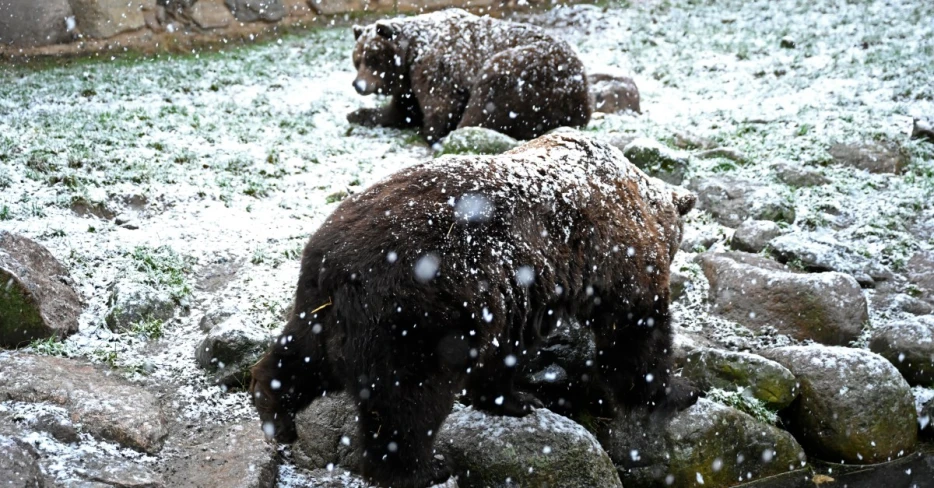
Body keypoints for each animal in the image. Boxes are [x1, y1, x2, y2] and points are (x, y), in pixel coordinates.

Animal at [250, 132, 697, 488]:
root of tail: (335, 263)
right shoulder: (615, 253)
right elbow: (636, 332)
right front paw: (678, 389)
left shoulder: (516, 293)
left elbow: (506, 349)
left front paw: (517, 398)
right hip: (413, 314)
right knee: (407, 403)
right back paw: (426, 468)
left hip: (324, 308)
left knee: (301, 355)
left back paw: (274, 410)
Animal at [346, 9, 592, 142]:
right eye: (357, 60)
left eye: (372, 59)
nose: (358, 84)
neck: (411, 54)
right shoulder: (409, 83)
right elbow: (401, 110)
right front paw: (358, 114)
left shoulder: (437, 68)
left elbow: (441, 103)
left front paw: (432, 132)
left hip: (531, 72)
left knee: (489, 96)